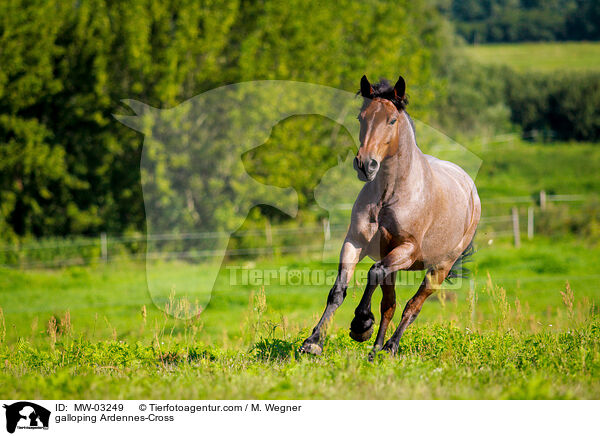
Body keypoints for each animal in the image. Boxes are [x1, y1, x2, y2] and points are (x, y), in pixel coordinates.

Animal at [300, 75, 482, 358]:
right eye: (361, 117)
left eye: (392, 120)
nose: (366, 164)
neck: (389, 196)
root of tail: (470, 188)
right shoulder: (355, 242)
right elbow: (338, 290)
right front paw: (313, 341)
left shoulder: (407, 249)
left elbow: (373, 273)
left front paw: (361, 324)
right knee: (390, 305)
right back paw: (375, 351)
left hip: (439, 268)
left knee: (412, 306)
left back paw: (390, 347)